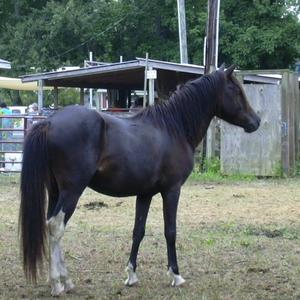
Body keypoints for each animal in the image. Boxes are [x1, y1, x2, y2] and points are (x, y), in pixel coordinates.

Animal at [18, 65, 258, 296]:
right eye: (236, 90)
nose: (256, 121)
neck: (173, 128)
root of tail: (49, 122)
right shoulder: (172, 191)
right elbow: (170, 231)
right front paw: (176, 275)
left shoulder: (145, 194)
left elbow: (138, 231)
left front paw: (131, 275)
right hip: (71, 191)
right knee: (56, 227)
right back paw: (58, 283)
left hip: (55, 191)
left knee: (50, 225)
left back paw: (65, 282)